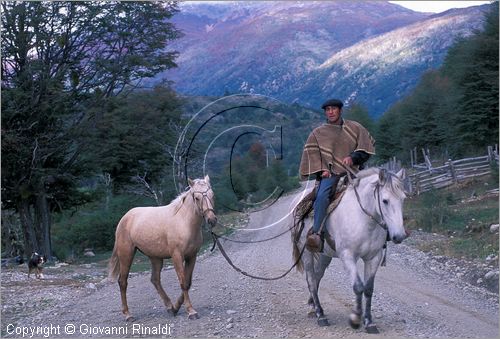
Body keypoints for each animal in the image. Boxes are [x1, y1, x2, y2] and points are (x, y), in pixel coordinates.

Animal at [108, 177, 216, 322]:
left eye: (212, 195)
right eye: (197, 198)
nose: (212, 220)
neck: (183, 221)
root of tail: (125, 218)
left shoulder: (192, 256)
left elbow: (188, 283)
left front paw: (176, 307)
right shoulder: (177, 256)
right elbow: (183, 282)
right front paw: (191, 311)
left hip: (155, 258)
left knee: (155, 280)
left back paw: (170, 307)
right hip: (126, 255)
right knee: (122, 282)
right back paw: (128, 314)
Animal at [292, 169, 406, 334]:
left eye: (403, 199)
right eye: (385, 200)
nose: (399, 236)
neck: (363, 219)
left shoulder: (374, 257)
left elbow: (368, 289)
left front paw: (369, 322)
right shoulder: (347, 256)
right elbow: (358, 286)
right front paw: (355, 319)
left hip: (324, 255)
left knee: (318, 276)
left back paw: (313, 307)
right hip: (306, 251)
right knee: (311, 280)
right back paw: (320, 315)